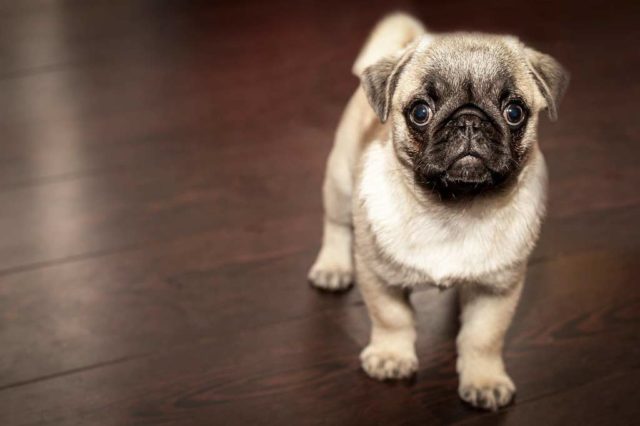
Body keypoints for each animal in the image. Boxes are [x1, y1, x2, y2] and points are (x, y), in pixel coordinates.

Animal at [308, 13, 568, 412]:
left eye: (514, 112)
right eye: (420, 112)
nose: (469, 121)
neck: (452, 207)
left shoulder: (497, 289)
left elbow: (483, 337)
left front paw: (484, 380)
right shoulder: (378, 276)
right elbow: (392, 318)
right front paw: (391, 357)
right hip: (339, 181)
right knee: (336, 224)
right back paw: (332, 267)